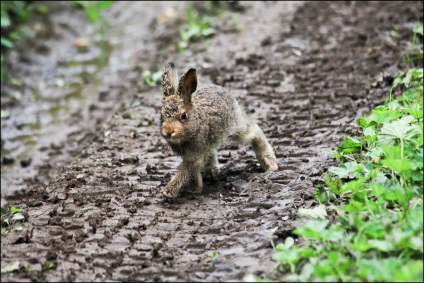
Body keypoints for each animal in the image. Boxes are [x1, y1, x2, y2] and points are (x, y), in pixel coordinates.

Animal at [161, 62, 276, 200]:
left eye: (183, 116)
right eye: (161, 116)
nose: (168, 132)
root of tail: (223, 89)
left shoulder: (195, 155)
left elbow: (185, 171)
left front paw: (168, 191)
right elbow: (194, 172)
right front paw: (195, 188)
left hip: (235, 126)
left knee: (255, 131)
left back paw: (270, 163)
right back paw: (212, 171)